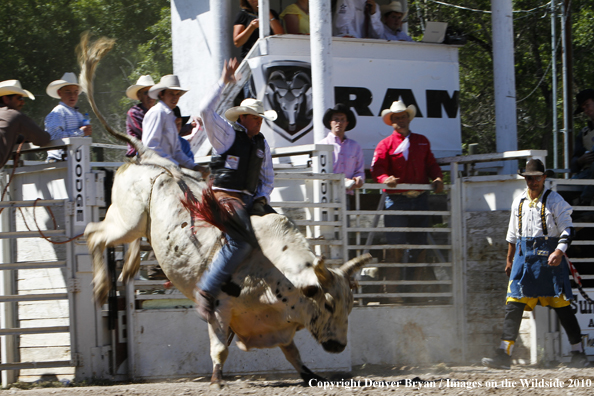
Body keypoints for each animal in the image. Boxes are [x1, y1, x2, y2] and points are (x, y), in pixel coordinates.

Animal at [76, 33, 368, 386]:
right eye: (326, 304)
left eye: (350, 305)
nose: (338, 346)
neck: (274, 269)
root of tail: (151, 156)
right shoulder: (219, 308)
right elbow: (220, 348)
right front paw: (217, 377)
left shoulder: (276, 326)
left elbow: (292, 353)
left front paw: (310, 374)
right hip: (126, 219)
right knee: (94, 234)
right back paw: (101, 287)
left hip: (139, 222)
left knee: (126, 240)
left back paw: (130, 268)